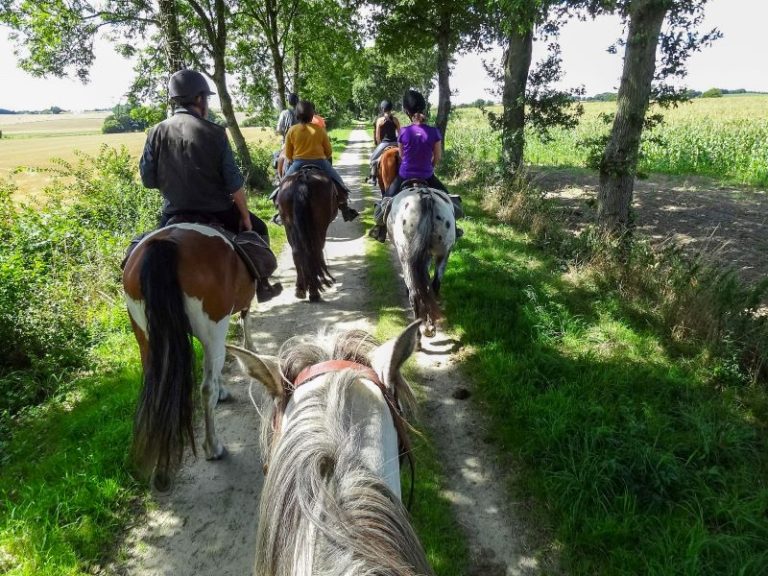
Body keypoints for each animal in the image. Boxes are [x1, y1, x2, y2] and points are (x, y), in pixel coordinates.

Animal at [121, 223, 256, 488]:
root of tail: (166, 243)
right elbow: (244, 322)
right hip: (213, 326)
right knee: (205, 389)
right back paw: (213, 447)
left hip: (145, 335)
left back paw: (159, 468)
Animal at [276, 165, 336, 302]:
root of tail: (302, 179)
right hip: (320, 225)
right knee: (315, 251)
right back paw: (314, 292)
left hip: (289, 225)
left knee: (297, 252)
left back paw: (301, 289)